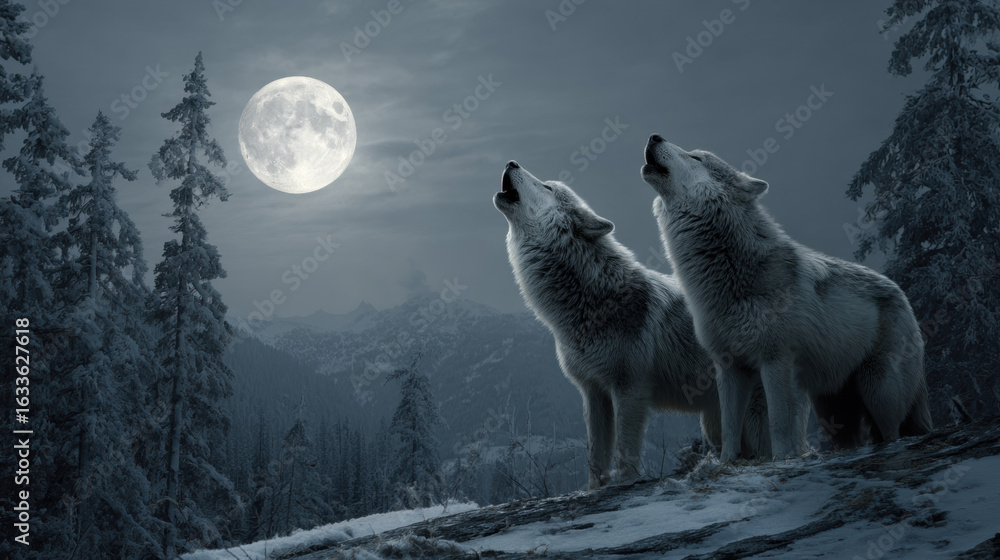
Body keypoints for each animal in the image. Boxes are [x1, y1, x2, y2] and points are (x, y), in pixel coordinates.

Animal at [494, 160, 770, 488]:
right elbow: (595, 455)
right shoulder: (593, 393)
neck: (590, 301)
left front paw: (625, 481)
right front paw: (594, 489)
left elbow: (625, 447)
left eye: (547, 187)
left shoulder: (630, 388)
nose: (511, 162)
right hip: (715, 422)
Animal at [640, 135, 932, 461]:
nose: (654, 136)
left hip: (879, 391)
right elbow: (730, 428)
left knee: (893, 433)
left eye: (696, 158)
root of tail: (901, 293)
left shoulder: (775, 360)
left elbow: (778, 422)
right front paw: (726, 463)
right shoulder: (728, 368)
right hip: (833, 410)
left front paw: (781, 460)